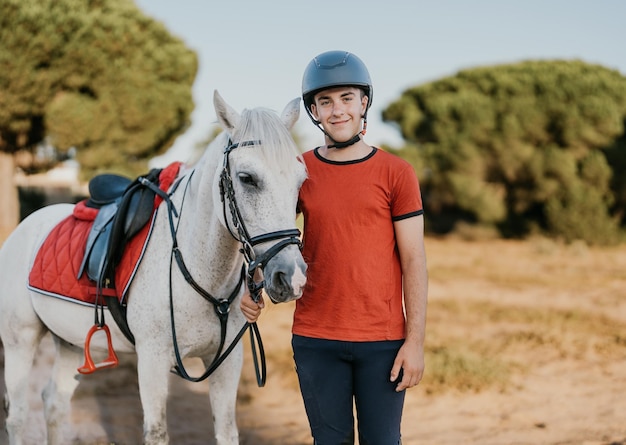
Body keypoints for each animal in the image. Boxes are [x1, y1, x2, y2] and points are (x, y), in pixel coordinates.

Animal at [0, 91, 308, 444]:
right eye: (247, 178)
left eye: (300, 181)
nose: (293, 277)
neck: (201, 271)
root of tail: (26, 226)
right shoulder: (152, 360)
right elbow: (157, 431)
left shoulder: (228, 364)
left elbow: (227, 431)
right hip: (19, 342)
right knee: (18, 417)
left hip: (69, 342)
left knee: (54, 404)